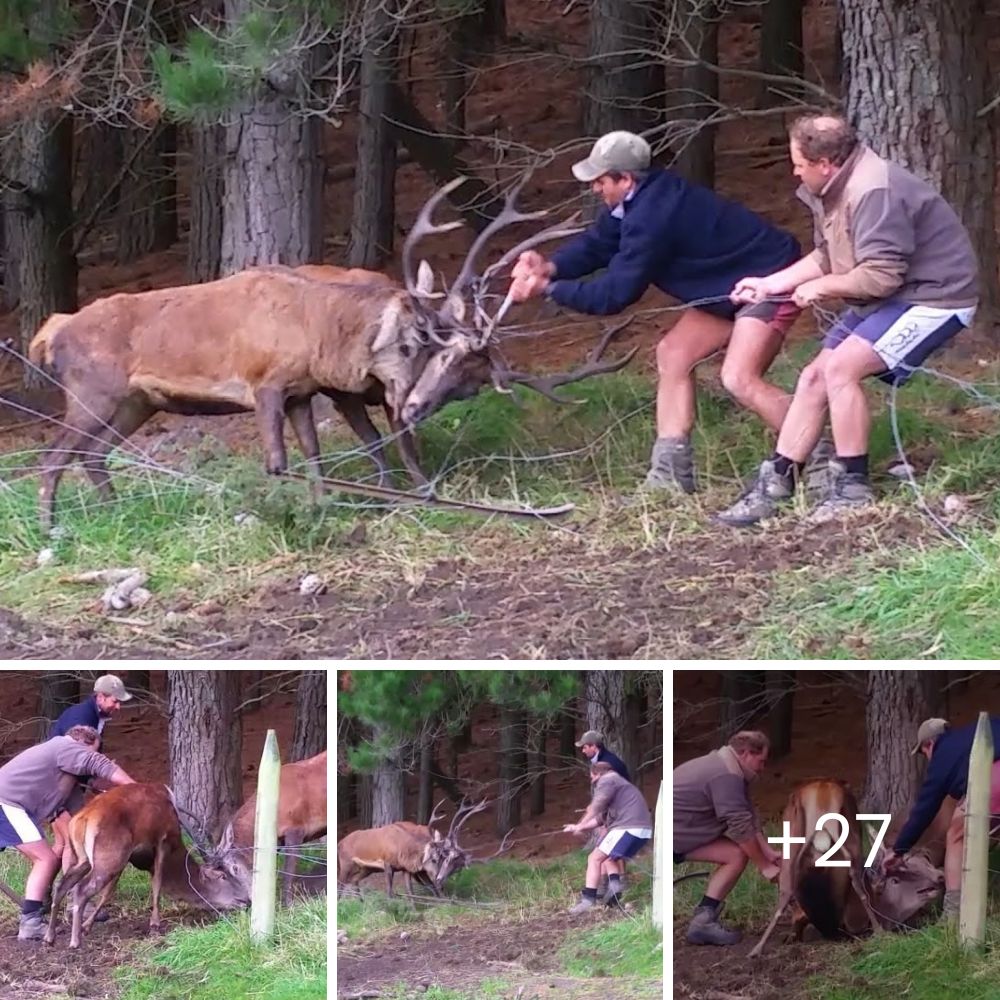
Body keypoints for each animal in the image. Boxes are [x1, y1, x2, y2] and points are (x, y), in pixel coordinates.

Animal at [44, 784, 250, 948]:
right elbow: (157, 883)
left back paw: (50, 936)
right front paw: (155, 924)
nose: (246, 900)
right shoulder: (161, 841)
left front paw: (87, 925)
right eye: (223, 876)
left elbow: (109, 892)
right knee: (80, 889)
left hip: (82, 857)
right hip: (109, 855)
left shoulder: (128, 858)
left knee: (61, 885)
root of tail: (82, 819)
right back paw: (74, 941)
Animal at [220, 752, 326, 908]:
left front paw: (288, 904)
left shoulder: (296, 828)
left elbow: (288, 872)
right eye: (223, 874)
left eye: (235, 868)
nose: (246, 902)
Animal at [752, 776, 944, 956]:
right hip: (850, 832)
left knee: (786, 887)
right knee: (856, 880)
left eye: (925, 862)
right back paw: (879, 931)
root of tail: (821, 791)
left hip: (792, 838)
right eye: (896, 879)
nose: (939, 878)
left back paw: (757, 948)